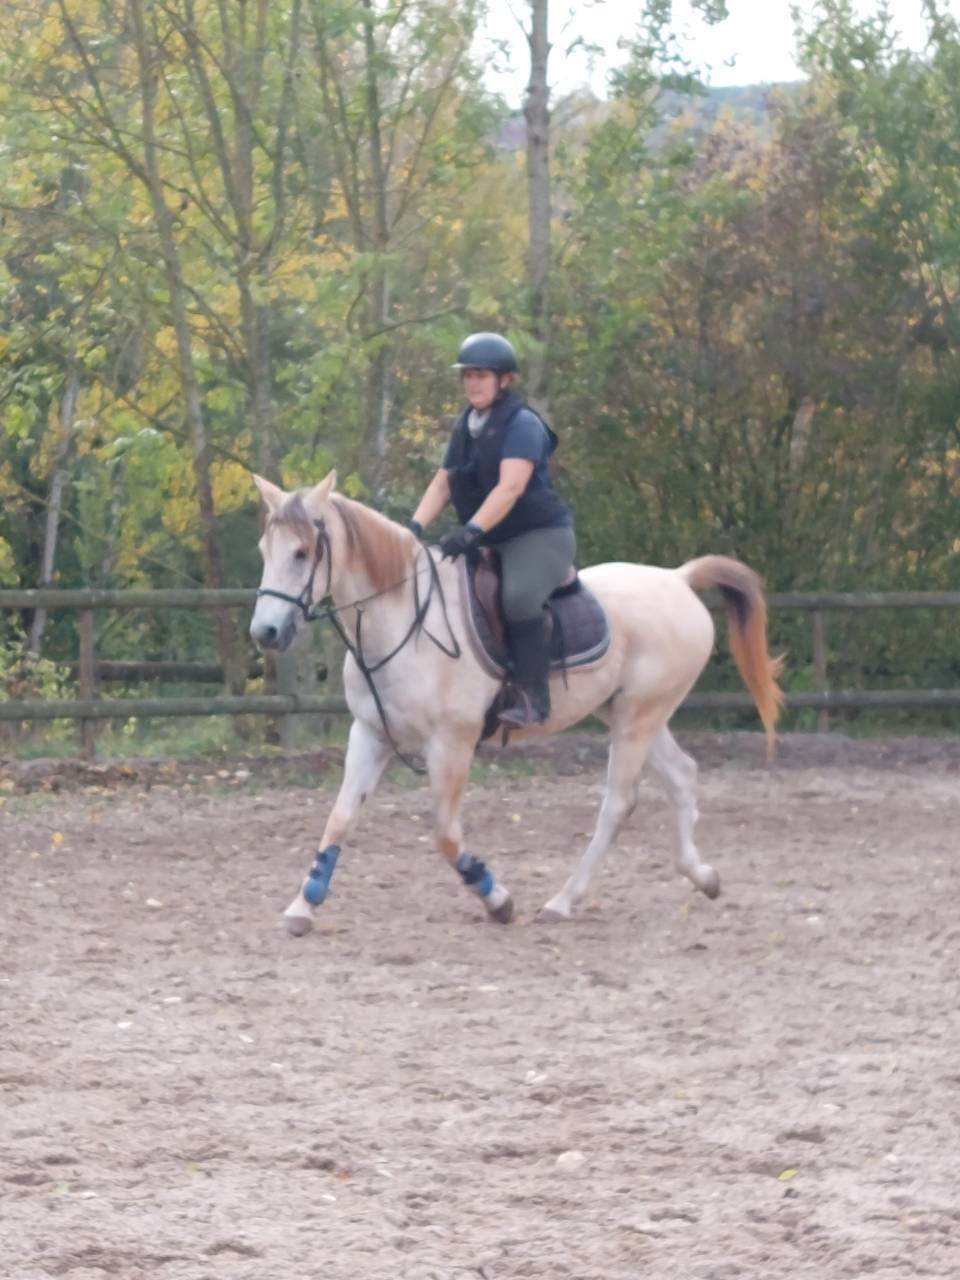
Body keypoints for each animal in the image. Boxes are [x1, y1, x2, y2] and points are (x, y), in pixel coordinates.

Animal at [249, 470, 783, 936]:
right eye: (264, 551)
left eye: (302, 553)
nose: (266, 633)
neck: (403, 620)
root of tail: (678, 579)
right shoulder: (372, 733)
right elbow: (339, 820)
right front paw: (303, 905)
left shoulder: (452, 744)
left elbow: (446, 834)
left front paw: (497, 900)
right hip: (630, 713)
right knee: (682, 775)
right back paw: (702, 876)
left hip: (639, 716)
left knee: (618, 803)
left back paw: (564, 900)